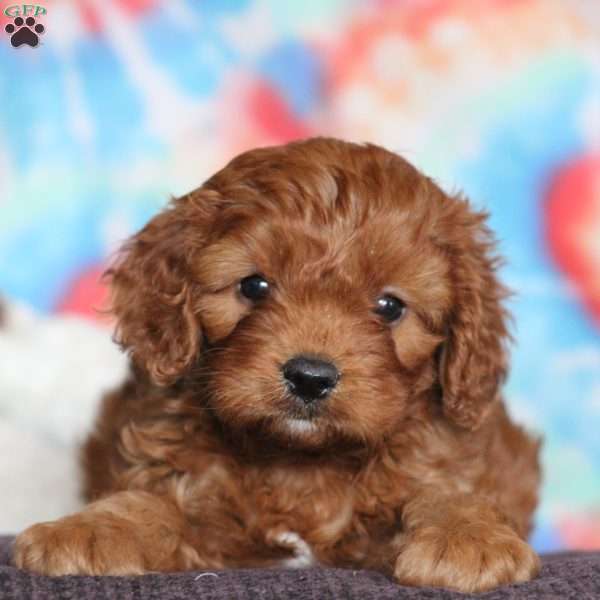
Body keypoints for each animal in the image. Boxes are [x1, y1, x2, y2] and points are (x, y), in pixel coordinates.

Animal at [12, 138, 540, 592]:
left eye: (390, 307)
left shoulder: (444, 457)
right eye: (254, 286)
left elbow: (449, 492)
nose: (310, 377)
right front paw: (88, 529)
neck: (301, 462)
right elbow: (151, 501)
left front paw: (467, 536)